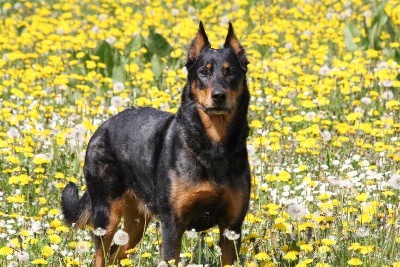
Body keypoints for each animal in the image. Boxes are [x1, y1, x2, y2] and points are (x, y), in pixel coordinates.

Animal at [61, 22, 250, 266]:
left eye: (232, 72)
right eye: (204, 72)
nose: (219, 95)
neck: (212, 144)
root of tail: (102, 127)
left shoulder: (232, 227)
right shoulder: (172, 224)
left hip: (136, 225)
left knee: (116, 252)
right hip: (106, 213)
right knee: (102, 255)